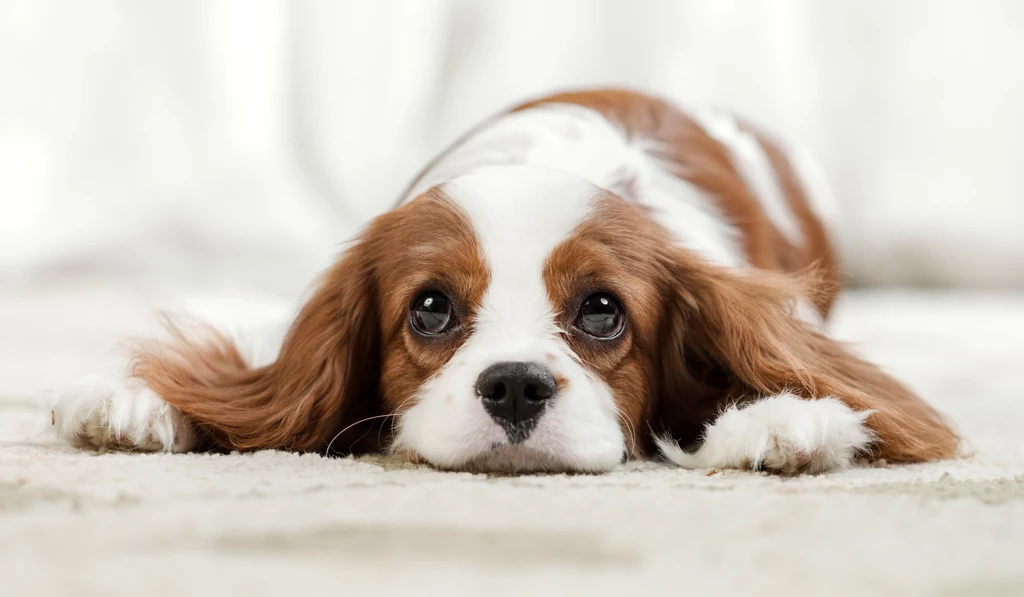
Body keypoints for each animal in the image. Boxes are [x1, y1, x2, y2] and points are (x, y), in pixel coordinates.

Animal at [49, 88, 958, 475]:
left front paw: (786, 419)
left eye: (602, 311)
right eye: (430, 307)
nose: (516, 384)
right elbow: (258, 387)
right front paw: (141, 403)